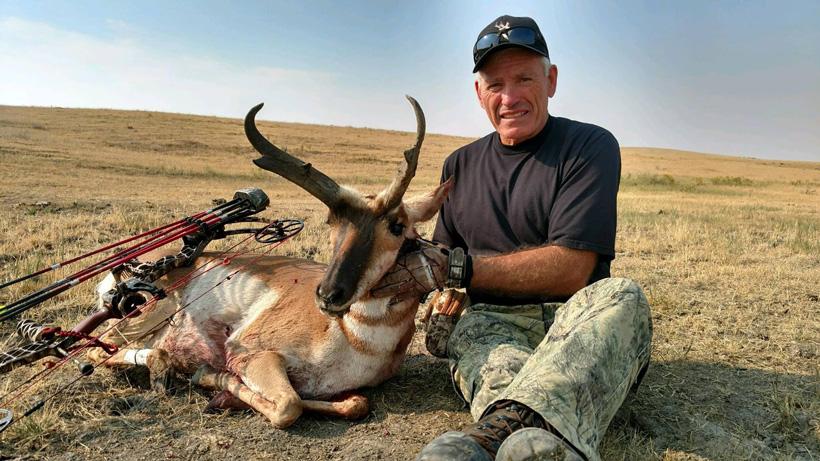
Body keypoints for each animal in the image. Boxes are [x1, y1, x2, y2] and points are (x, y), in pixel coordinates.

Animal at [87, 96, 452, 427]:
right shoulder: (250, 352)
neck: (355, 339)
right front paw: (214, 380)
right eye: (331, 221)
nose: (328, 295)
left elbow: (355, 404)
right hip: (146, 314)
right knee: (97, 350)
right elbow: (290, 405)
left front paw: (219, 391)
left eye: (397, 226)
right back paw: (167, 368)